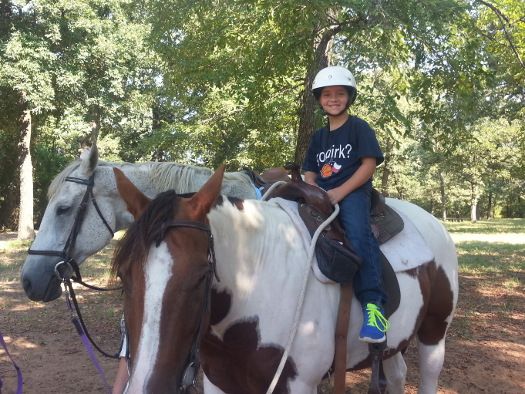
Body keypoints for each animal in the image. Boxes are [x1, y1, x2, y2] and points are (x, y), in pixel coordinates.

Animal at [112, 166, 456, 394]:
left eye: (201, 276)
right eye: (124, 276)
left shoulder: (299, 384)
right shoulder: (218, 380)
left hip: (434, 330)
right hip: (394, 342)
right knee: (397, 374)